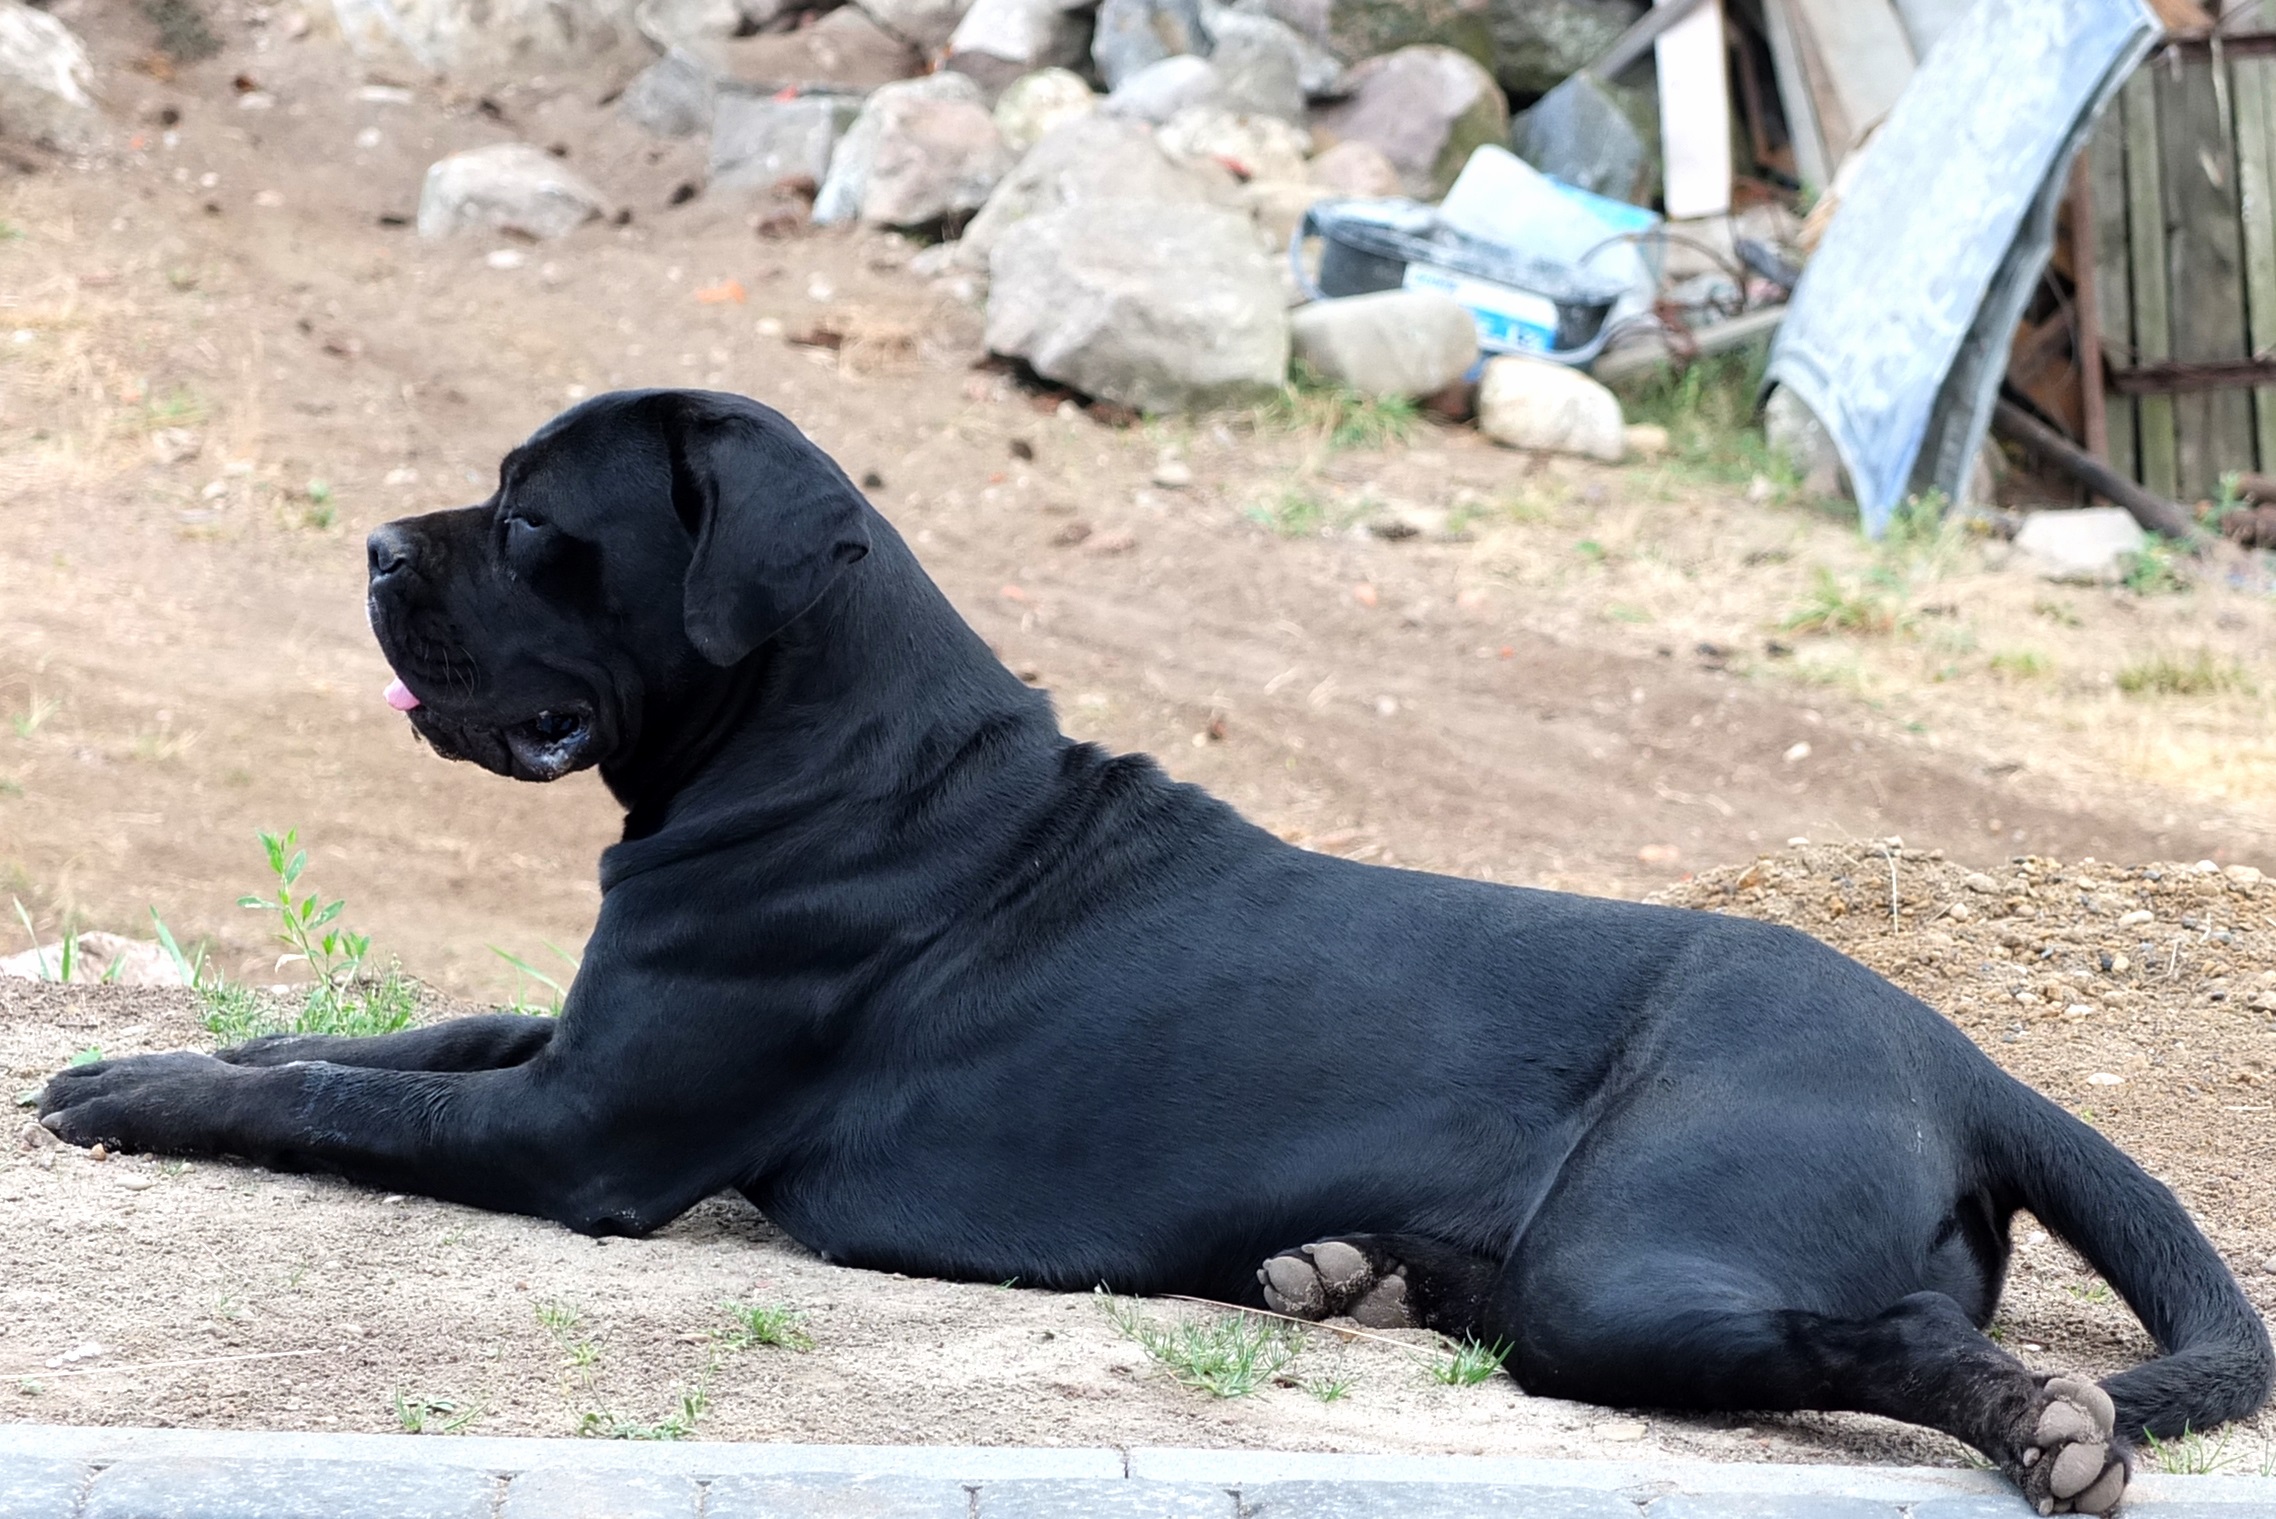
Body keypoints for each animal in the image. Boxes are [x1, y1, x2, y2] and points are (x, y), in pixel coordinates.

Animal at [44, 389, 2266, 1512]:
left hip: (1640, 1256)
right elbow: (402, 1031)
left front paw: (125, 1081)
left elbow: (352, 1107)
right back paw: (1340, 1266)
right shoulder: (574, 1044)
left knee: (1881, 1344)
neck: (817, 736)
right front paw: (229, 1038)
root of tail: (1969, 1058)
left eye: (527, 519)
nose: (373, 549)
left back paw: (2043, 1428)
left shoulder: (586, 1129)